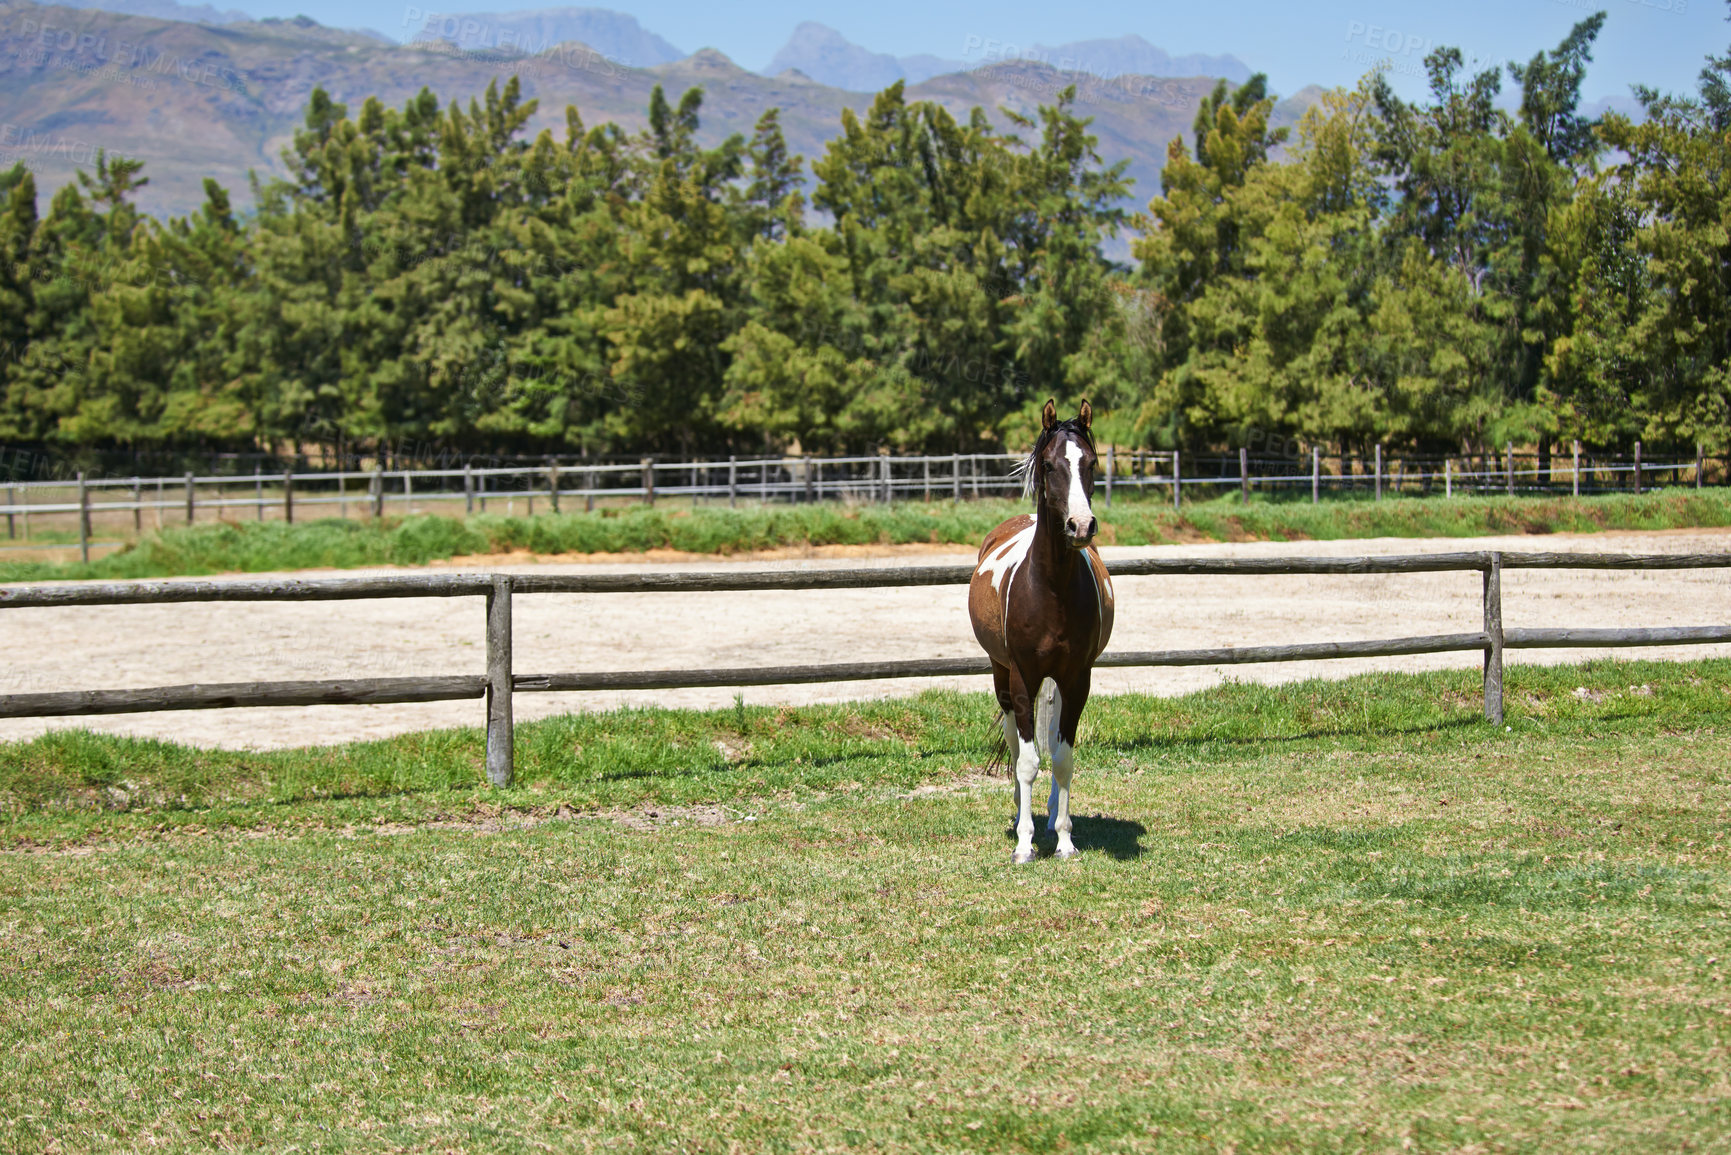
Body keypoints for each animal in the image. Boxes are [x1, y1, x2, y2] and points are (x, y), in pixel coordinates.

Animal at [969, 401, 1114, 862]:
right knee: (1017, 743)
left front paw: (1065, 839)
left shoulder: (1077, 677)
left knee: (1050, 740)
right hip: (1002, 675)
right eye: (1050, 465)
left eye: (1091, 462)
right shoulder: (1021, 677)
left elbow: (1063, 757)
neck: (1051, 588)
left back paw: (1049, 815)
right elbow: (1028, 761)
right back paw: (1022, 812)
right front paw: (1024, 843)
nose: (1080, 526)